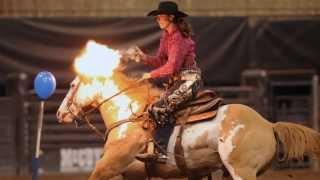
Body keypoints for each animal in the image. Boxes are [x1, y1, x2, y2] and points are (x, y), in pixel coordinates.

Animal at [57, 69, 320, 180]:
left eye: (72, 85)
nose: (60, 114)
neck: (129, 117)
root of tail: (268, 124)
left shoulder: (108, 166)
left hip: (242, 172)